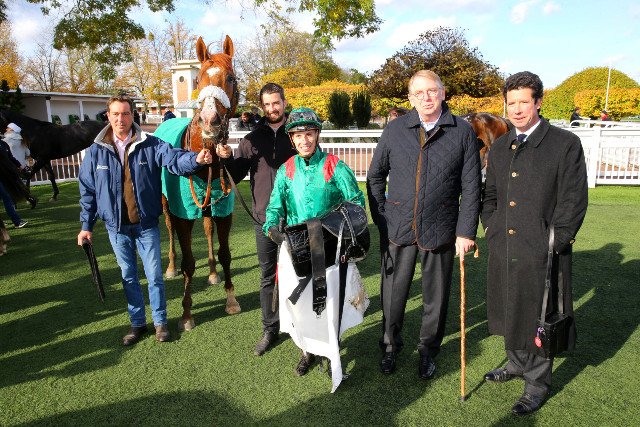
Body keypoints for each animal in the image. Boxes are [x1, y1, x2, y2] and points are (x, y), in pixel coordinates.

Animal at [160, 35, 240, 332]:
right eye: (198, 80)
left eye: (231, 78)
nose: (210, 121)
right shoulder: (183, 214)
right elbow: (189, 263)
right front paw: (186, 313)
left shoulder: (225, 210)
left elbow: (225, 252)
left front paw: (230, 299)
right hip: (166, 205)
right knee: (169, 231)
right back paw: (170, 267)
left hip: (208, 204)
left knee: (207, 228)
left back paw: (214, 272)